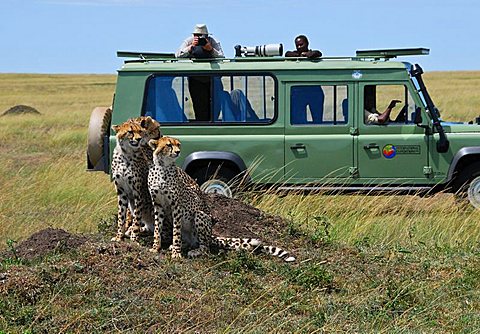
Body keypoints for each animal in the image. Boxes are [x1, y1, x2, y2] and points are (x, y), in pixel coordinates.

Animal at [147, 135, 296, 260]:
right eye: (168, 145)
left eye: (178, 145)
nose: (178, 152)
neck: (162, 167)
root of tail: (211, 235)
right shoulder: (158, 205)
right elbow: (157, 228)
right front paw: (155, 248)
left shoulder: (176, 206)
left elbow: (176, 232)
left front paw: (176, 253)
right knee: (190, 242)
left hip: (200, 215)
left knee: (205, 246)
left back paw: (194, 251)